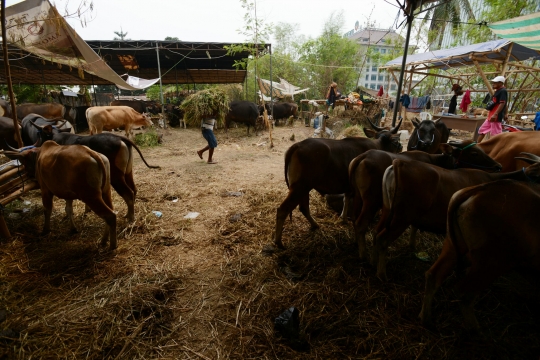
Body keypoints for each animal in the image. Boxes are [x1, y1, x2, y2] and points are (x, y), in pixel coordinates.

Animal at [276, 116, 402, 249]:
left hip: (303, 188)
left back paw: (315, 225)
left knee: (304, 208)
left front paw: (343, 218)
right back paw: (279, 242)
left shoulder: (348, 187)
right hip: (300, 187)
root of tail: (297, 145)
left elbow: (346, 199)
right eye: (395, 141)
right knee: (283, 210)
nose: (401, 146)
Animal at [348, 140, 504, 258]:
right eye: (474, 153)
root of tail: (364, 156)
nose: (498, 166)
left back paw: (356, 243)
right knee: (361, 223)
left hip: (358, 196)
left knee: (355, 219)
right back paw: (363, 253)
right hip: (371, 202)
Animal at [374, 153, 540, 280]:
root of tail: (400, 163)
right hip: (401, 218)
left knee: (376, 234)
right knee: (382, 240)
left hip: (388, 210)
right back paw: (382, 274)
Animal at [420, 165, 540, 330]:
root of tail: (480, 189)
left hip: (452, 245)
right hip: (493, 262)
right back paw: (476, 331)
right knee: (464, 293)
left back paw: (426, 319)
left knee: (433, 275)